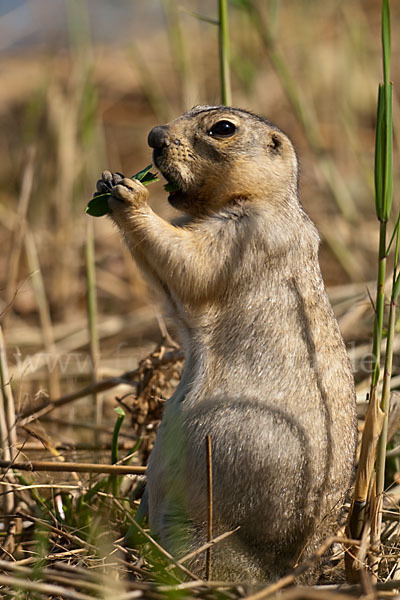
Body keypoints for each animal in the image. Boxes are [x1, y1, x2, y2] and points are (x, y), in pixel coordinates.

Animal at [94, 104, 356, 580]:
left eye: (222, 128)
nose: (154, 135)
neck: (263, 199)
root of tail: (296, 574)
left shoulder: (245, 236)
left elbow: (193, 262)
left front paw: (129, 193)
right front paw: (108, 179)